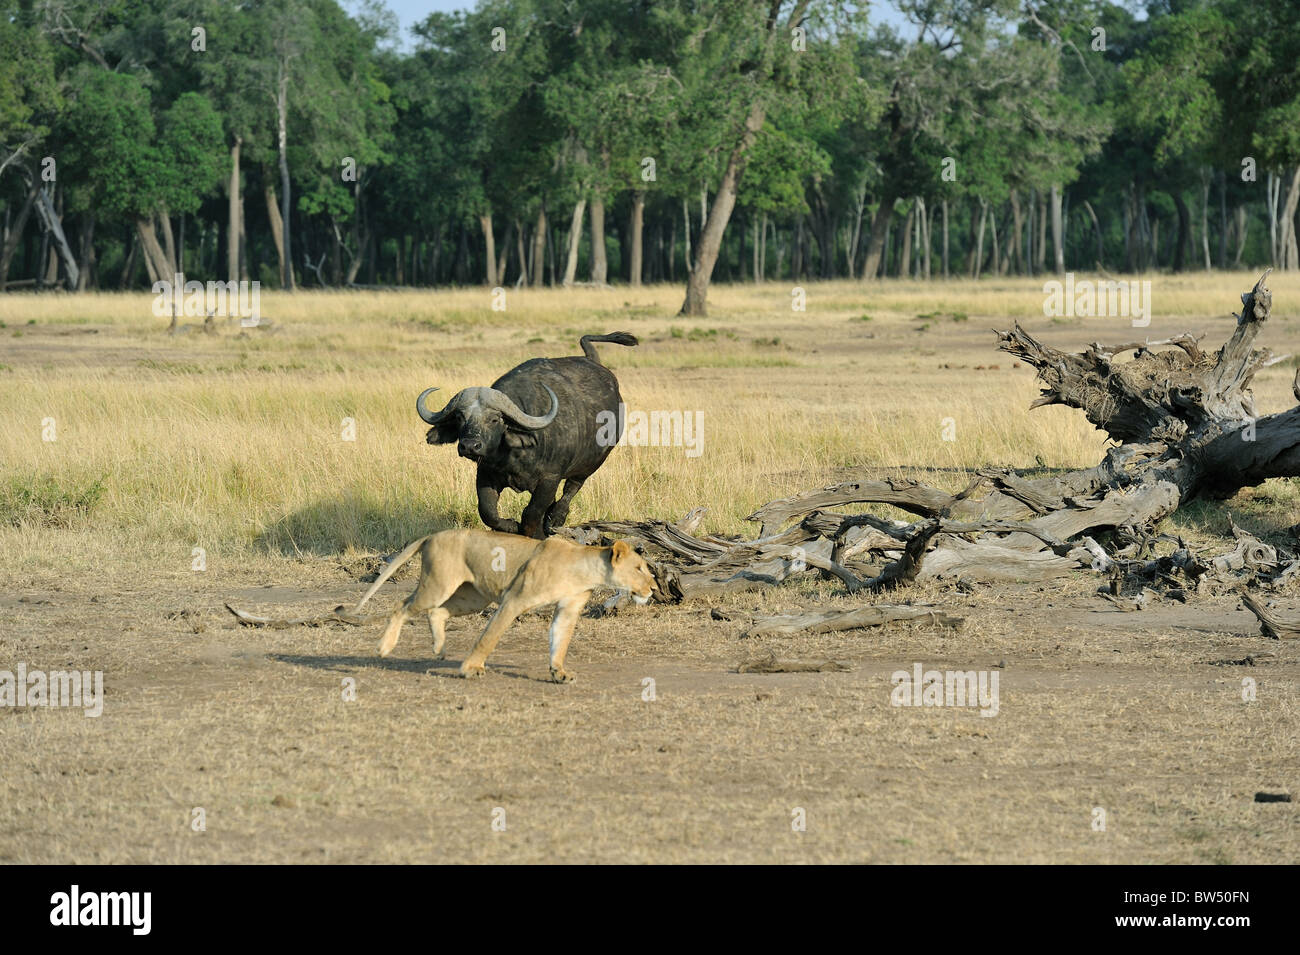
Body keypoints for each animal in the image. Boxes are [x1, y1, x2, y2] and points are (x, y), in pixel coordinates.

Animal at [352, 528, 656, 682]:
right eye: (639, 568)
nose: (654, 588)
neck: (584, 569)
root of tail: (432, 535)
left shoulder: (568, 609)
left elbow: (560, 641)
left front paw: (559, 672)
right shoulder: (514, 599)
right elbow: (489, 637)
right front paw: (470, 668)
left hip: (474, 597)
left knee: (437, 611)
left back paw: (439, 649)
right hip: (438, 584)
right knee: (401, 606)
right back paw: (384, 648)